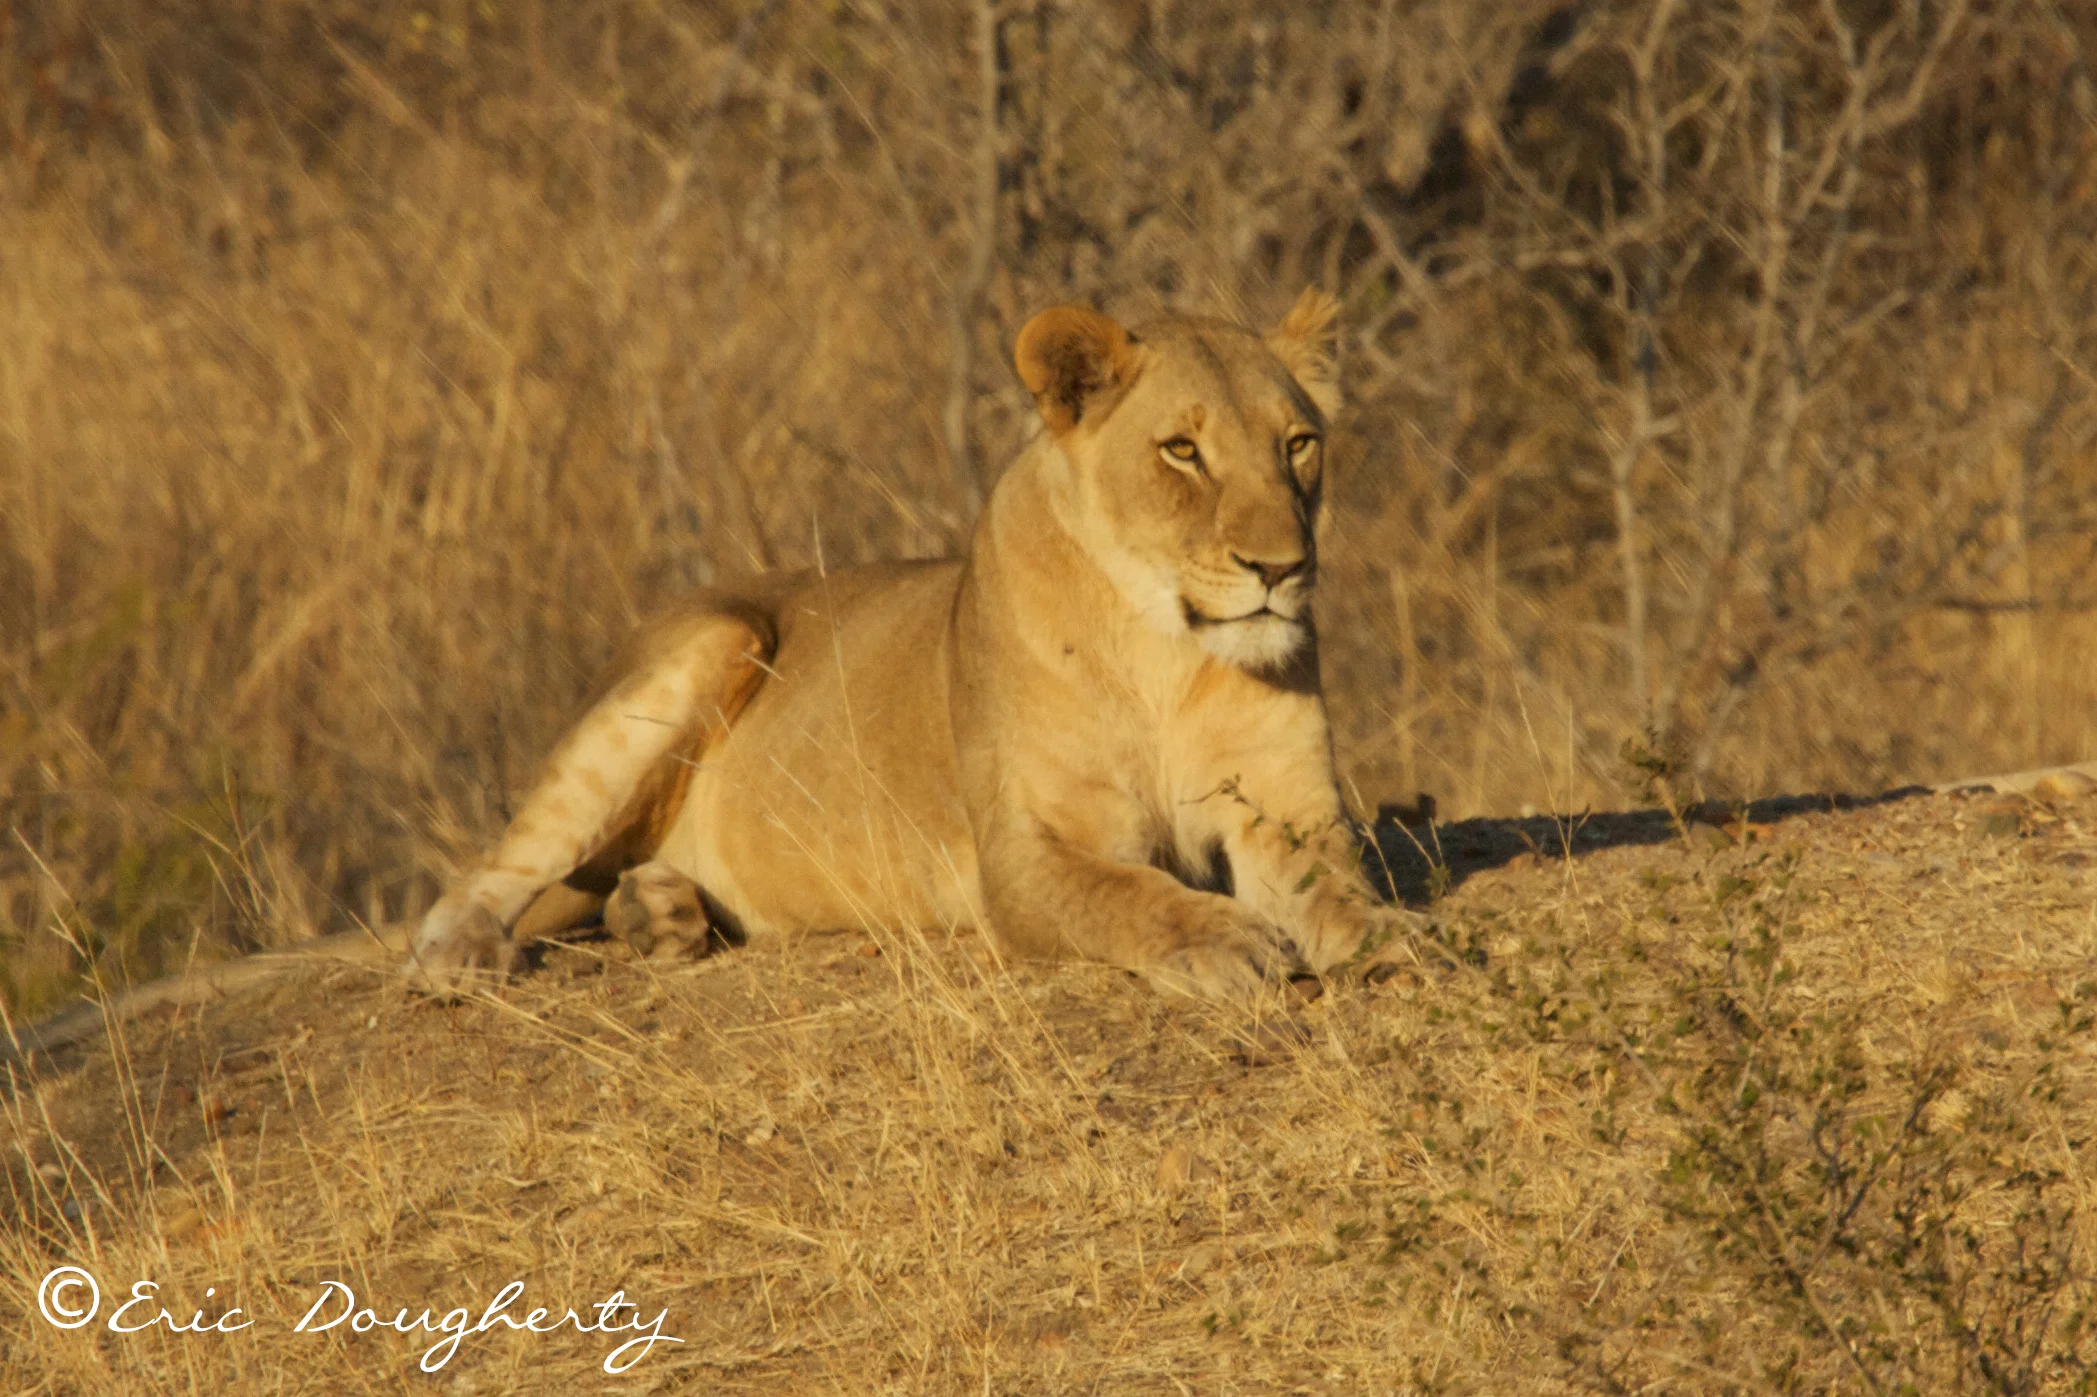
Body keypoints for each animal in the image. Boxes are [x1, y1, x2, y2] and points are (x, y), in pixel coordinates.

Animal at [404, 289, 1422, 1001]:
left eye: (1297, 445)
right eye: (1181, 451)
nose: (1281, 567)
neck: (1168, 651)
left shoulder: (1288, 810)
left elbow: (1338, 891)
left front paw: (1395, 942)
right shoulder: (1026, 852)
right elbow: (1131, 896)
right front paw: (1225, 939)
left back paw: (661, 915)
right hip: (713, 639)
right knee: (490, 868)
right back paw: (461, 953)